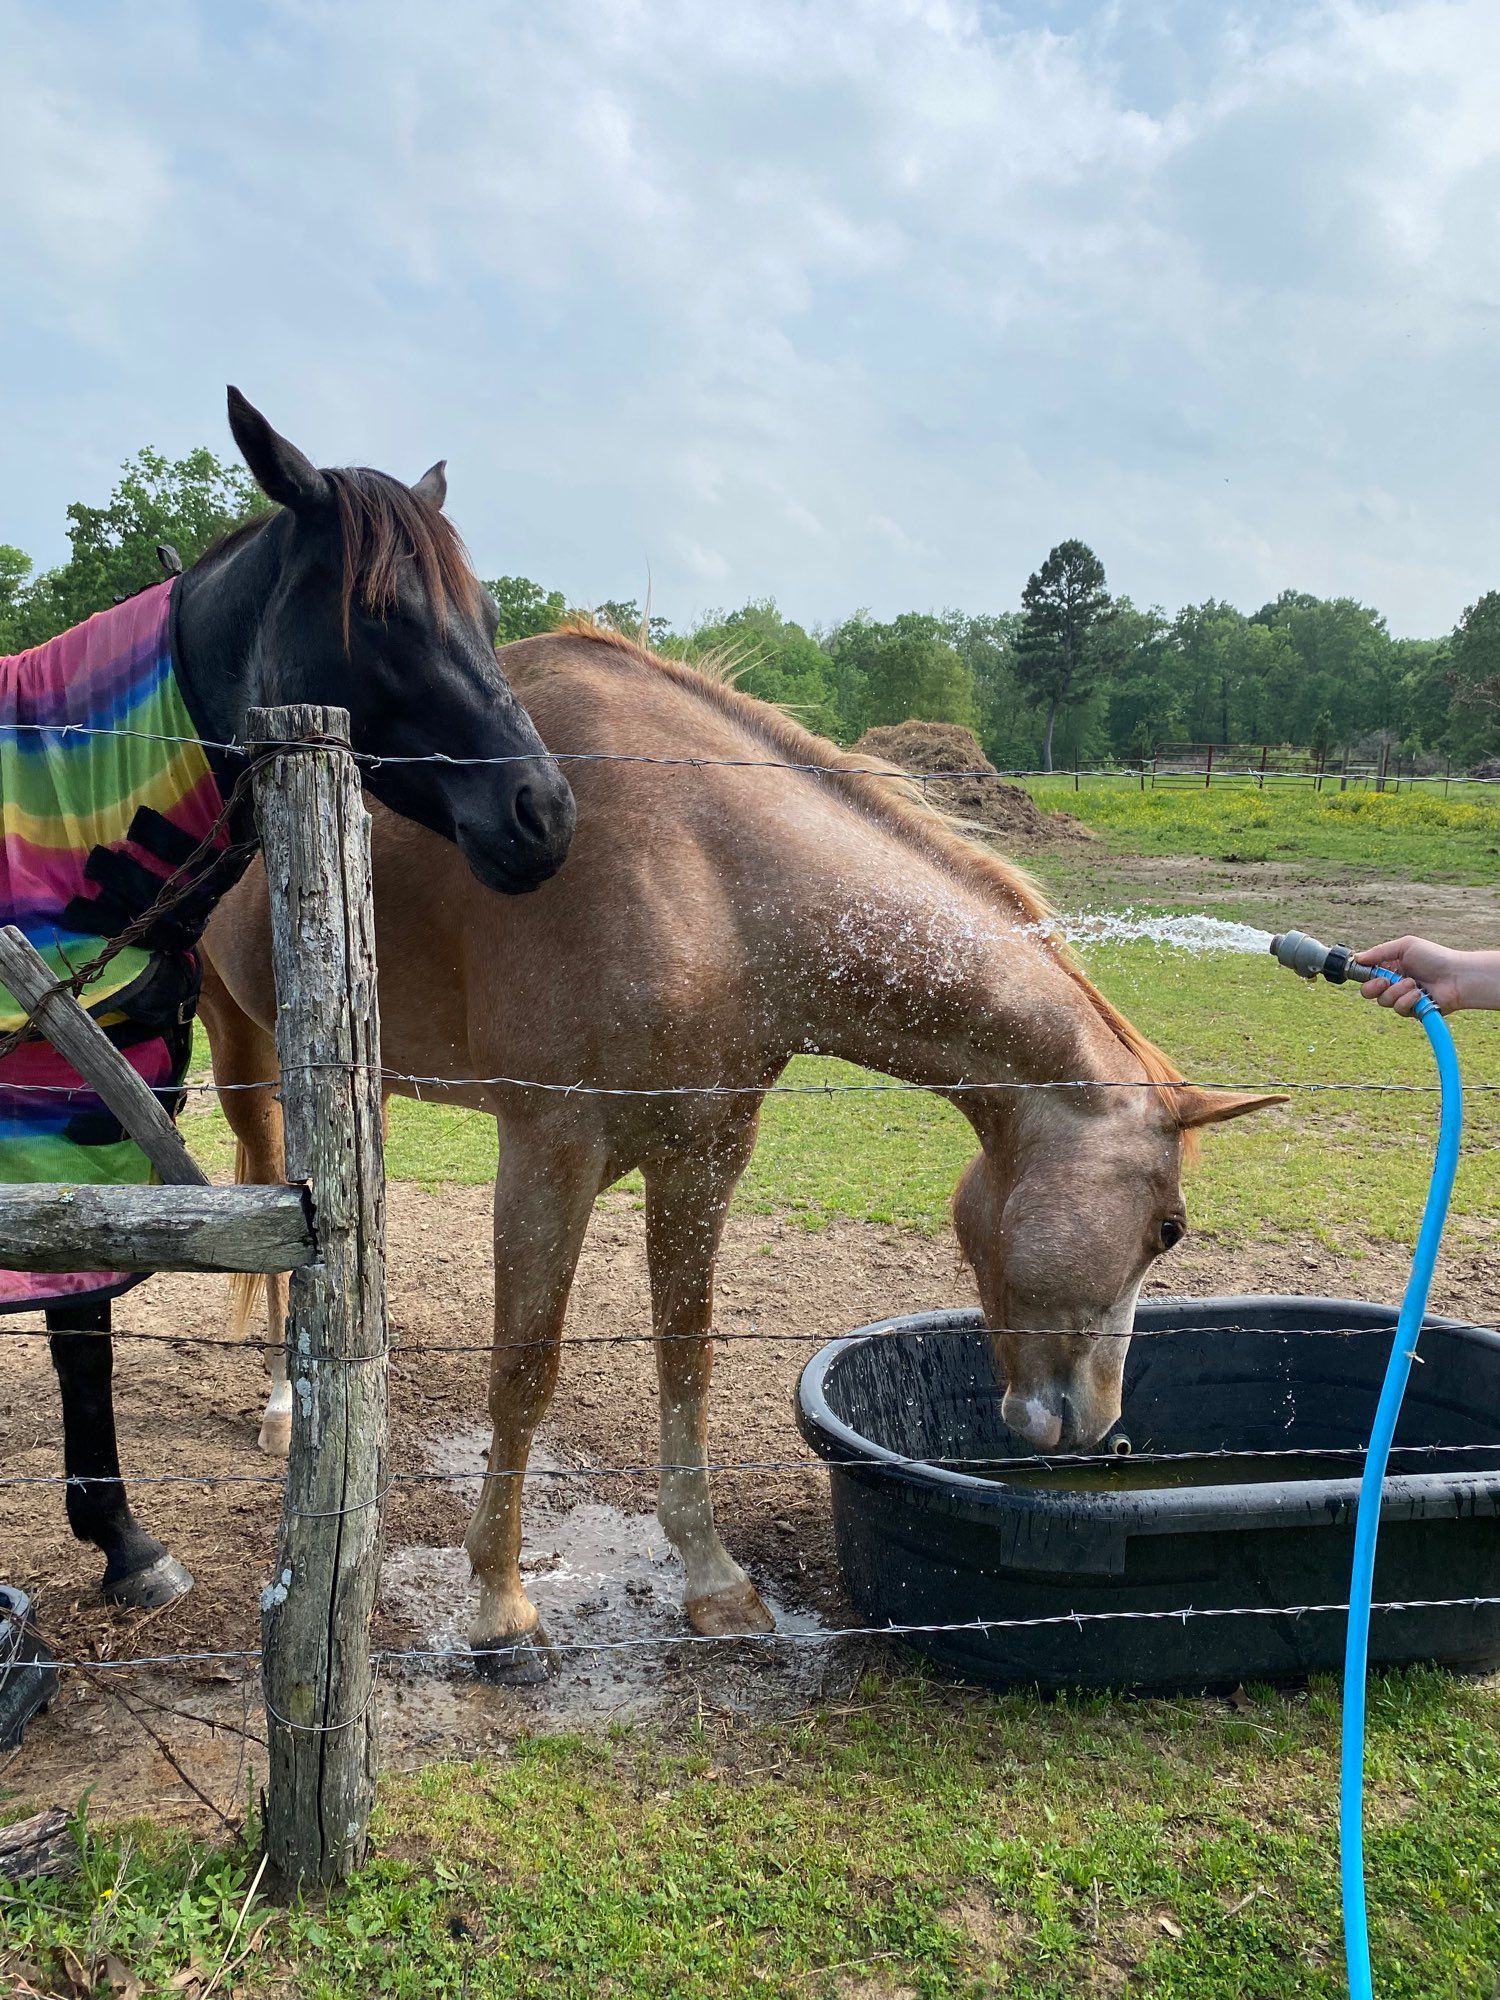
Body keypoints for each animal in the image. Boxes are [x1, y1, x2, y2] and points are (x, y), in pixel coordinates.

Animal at [200, 624, 1288, 1672]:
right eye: (1169, 1228)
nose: (1091, 1421)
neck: (708, 874)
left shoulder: (705, 1152)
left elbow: (688, 1353)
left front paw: (712, 1579)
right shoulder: (551, 1151)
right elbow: (524, 1371)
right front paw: (500, 1608)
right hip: (246, 1058)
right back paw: (286, 1406)